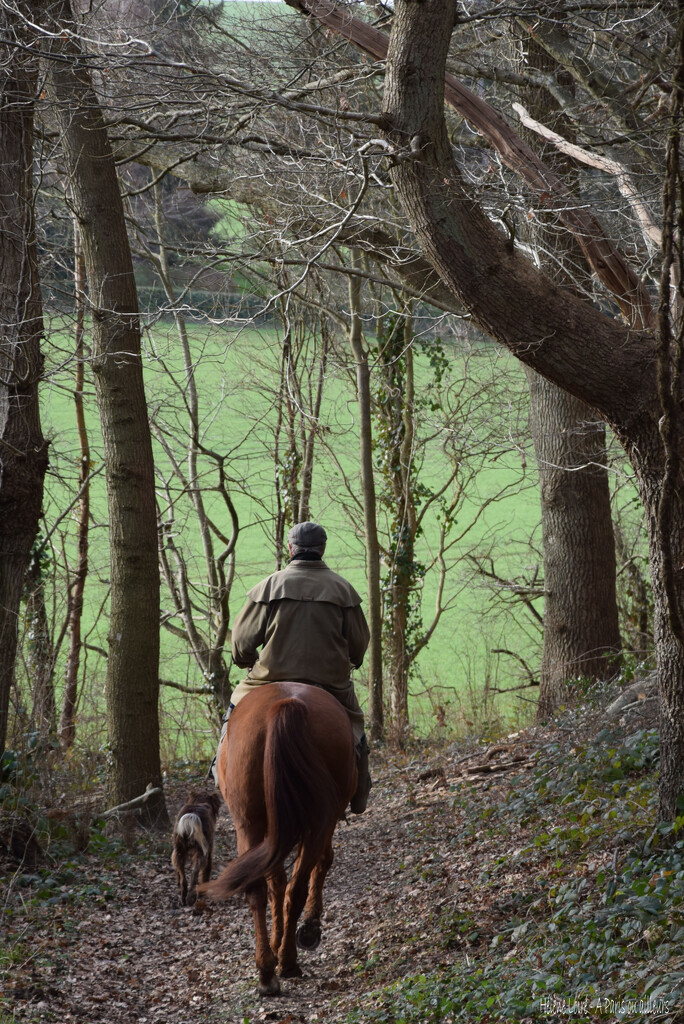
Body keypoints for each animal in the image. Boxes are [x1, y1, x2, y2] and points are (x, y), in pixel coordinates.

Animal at [198, 684, 356, 995]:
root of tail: (285, 705)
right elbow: (303, 872)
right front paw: (301, 930)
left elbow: (279, 882)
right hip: (312, 823)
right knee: (293, 887)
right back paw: (283, 962)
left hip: (250, 825)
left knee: (264, 890)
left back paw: (271, 969)